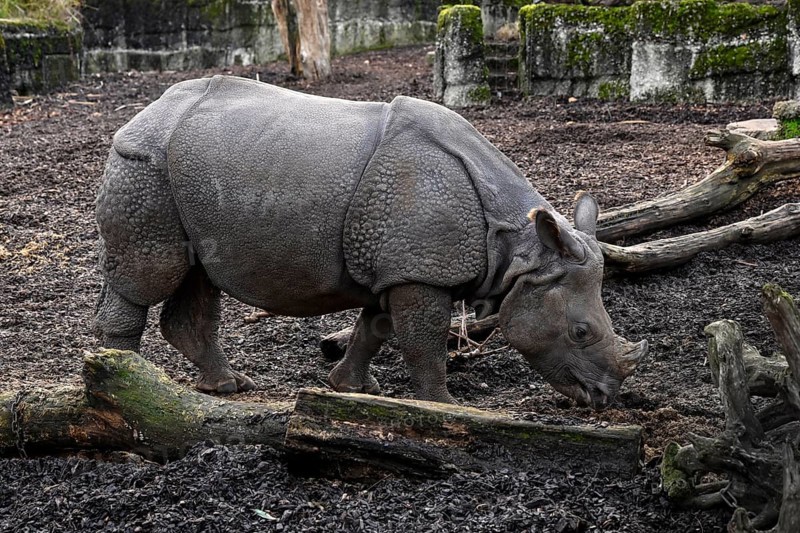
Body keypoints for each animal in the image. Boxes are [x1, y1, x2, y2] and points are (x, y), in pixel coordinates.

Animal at [94, 75, 647, 409]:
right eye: (580, 332)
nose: (605, 397)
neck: (520, 250)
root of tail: (145, 112)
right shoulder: (419, 271)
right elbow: (424, 340)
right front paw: (445, 407)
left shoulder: (396, 265)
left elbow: (374, 328)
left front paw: (350, 389)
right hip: (144, 165)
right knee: (151, 273)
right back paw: (123, 384)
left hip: (186, 175)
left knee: (199, 276)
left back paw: (227, 387)